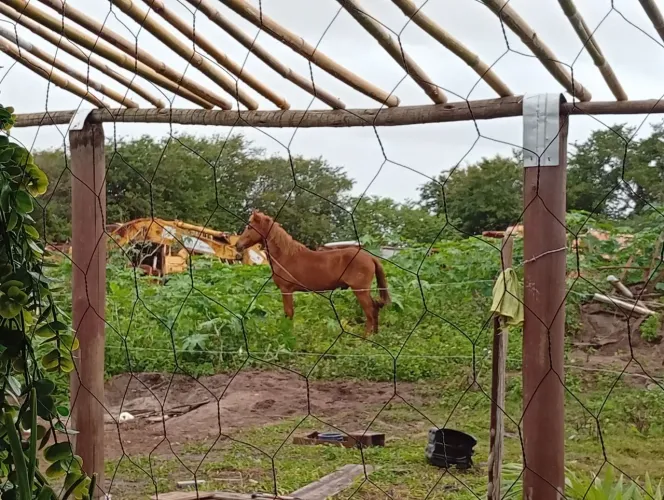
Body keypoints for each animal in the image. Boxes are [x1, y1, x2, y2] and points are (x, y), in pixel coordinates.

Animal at [235, 210, 391, 335]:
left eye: (249, 226)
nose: (237, 245)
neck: (285, 256)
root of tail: (370, 257)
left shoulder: (286, 290)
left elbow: (289, 313)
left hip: (360, 291)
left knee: (370, 311)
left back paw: (366, 338)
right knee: (375, 308)